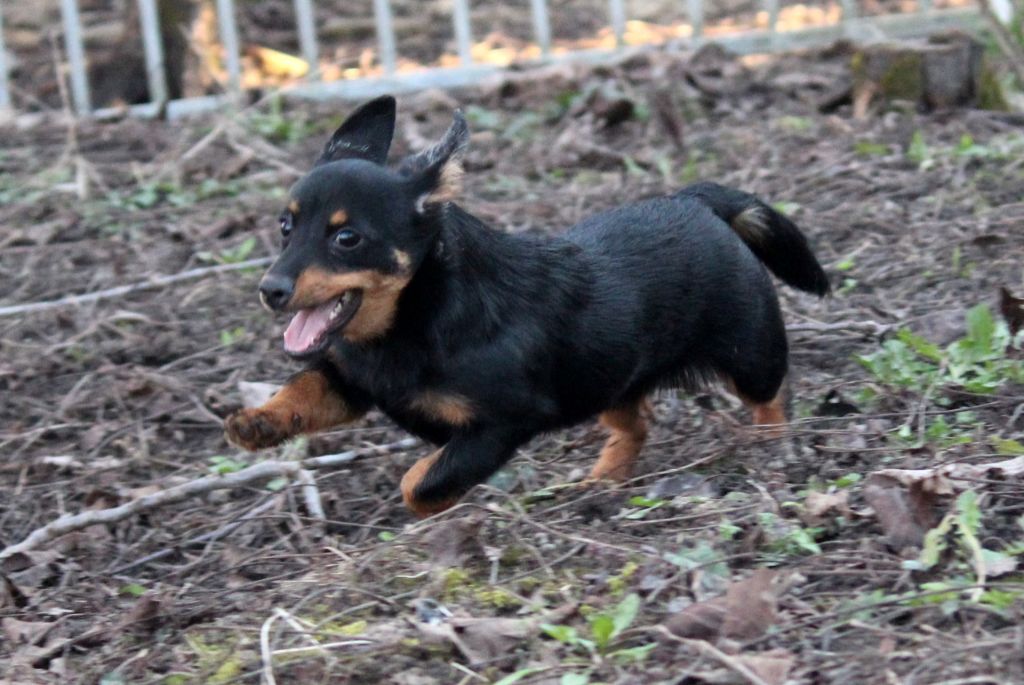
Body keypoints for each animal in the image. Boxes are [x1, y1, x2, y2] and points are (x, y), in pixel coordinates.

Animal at [226, 94, 831, 511]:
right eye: (285, 227)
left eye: (346, 238)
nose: (271, 290)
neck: (412, 319)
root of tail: (695, 201)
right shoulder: (353, 382)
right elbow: (304, 389)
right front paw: (259, 422)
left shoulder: (503, 424)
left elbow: (421, 482)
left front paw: (437, 497)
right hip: (606, 380)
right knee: (635, 425)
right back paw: (601, 481)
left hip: (749, 353)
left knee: (772, 397)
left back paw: (772, 447)